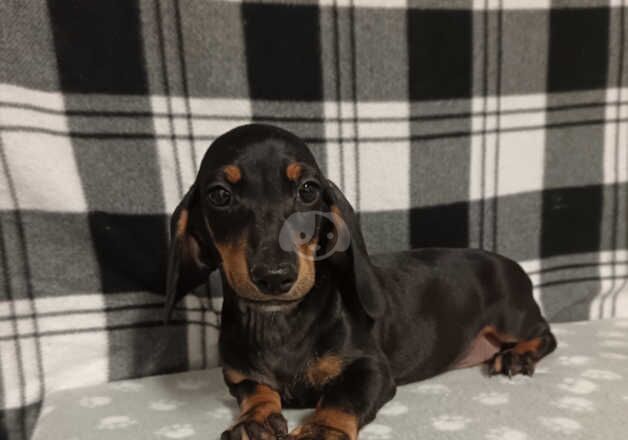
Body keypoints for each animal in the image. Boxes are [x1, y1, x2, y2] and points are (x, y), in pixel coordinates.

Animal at [164, 124, 556, 440]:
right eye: (219, 195)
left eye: (308, 190)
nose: (275, 276)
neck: (280, 322)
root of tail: (509, 263)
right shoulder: (237, 374)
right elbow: (256, 389)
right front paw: (254, 420)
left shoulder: (371, 368)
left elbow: (342, 397)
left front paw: (321, 430)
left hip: (511, 320)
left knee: (546, 335)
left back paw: (518, 356)